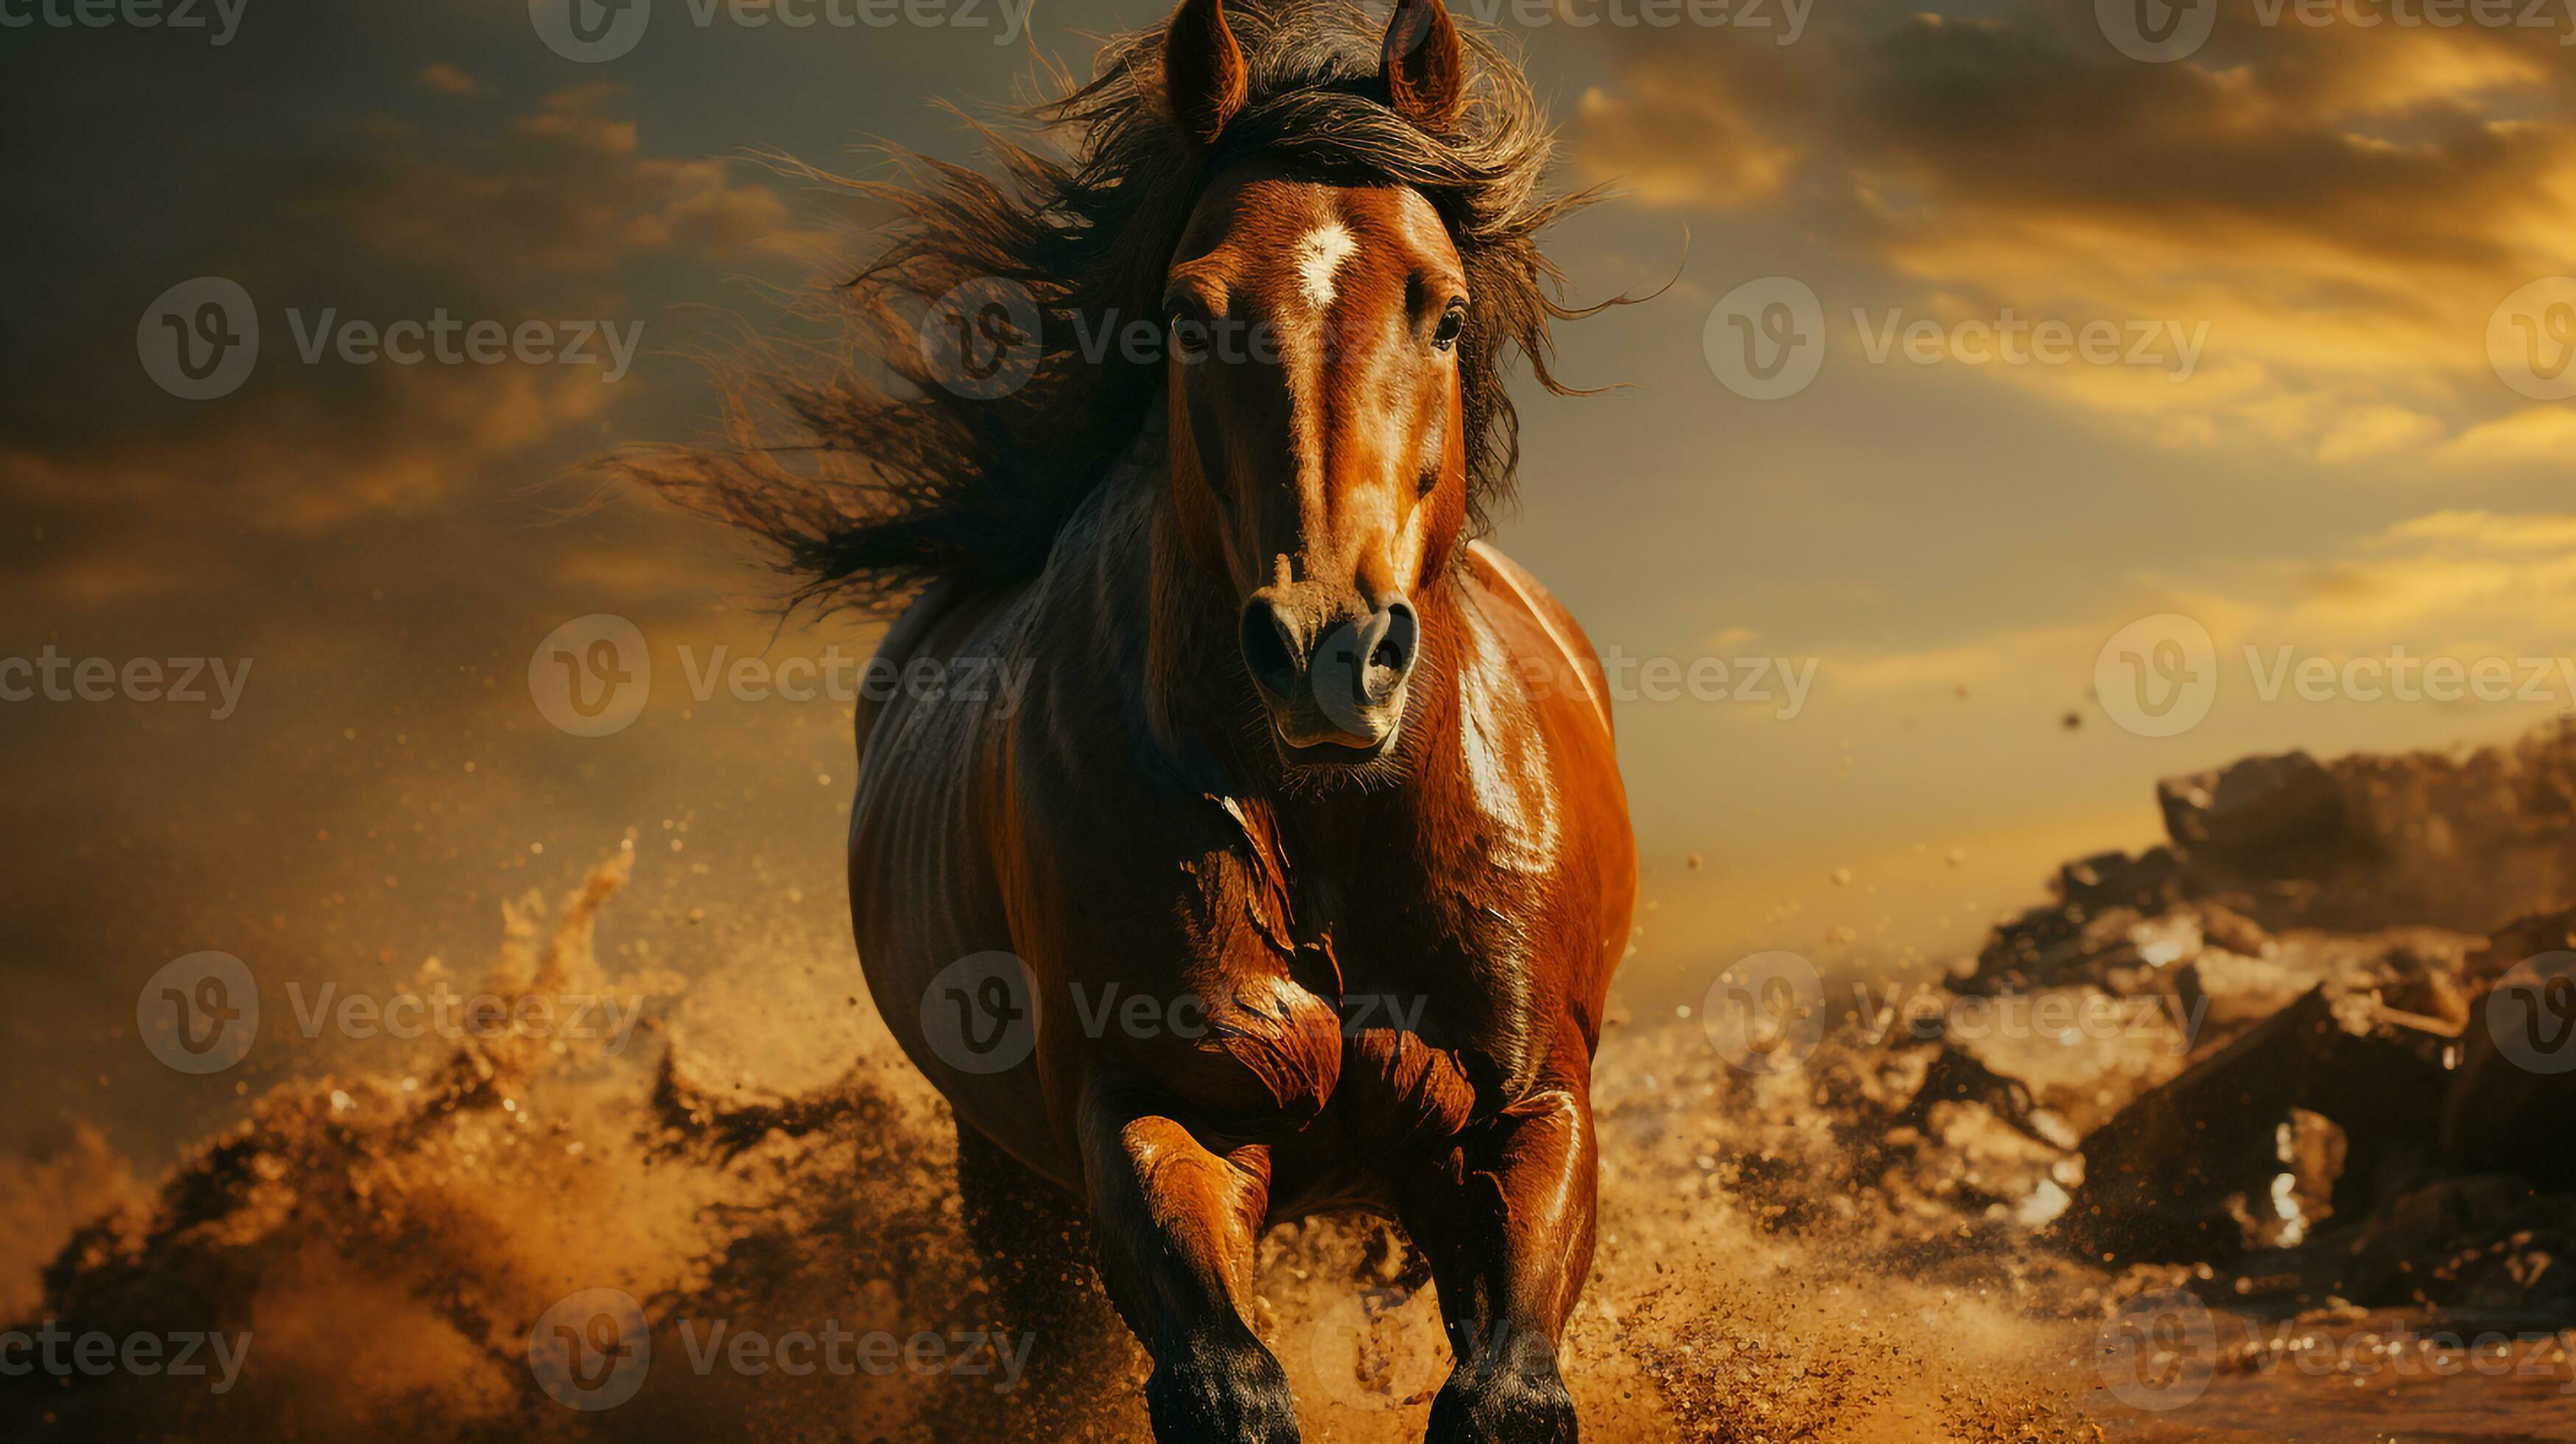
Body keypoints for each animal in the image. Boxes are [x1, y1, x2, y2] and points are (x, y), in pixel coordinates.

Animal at [636, 1, 1634, 1436]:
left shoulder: (1523, 1114)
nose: (1330, 654)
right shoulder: (1162, 1118)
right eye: (1190, 311)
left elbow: (1503, 1389)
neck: (1324, 828)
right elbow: (1228, 1386)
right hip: (1008, 1184)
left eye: (1442, 313)